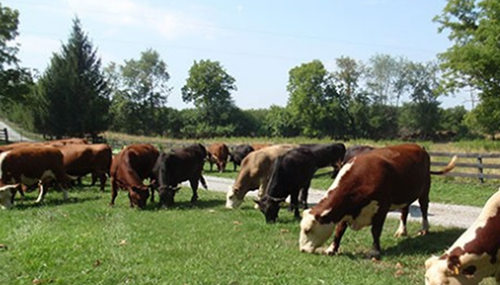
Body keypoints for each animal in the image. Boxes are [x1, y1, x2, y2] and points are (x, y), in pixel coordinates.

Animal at [296, 143, 458, 258]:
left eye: (308, 230)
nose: (302, 250)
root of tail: (419, 147)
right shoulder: (345, 210)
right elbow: (339, 230)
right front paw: (332, 248)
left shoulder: (382, 207)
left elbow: (375, 230)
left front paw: (375, 251)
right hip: (405, 196)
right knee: (404, 211)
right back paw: (402, 231)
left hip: (424, 189)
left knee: (424, 208)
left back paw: (424, 228)